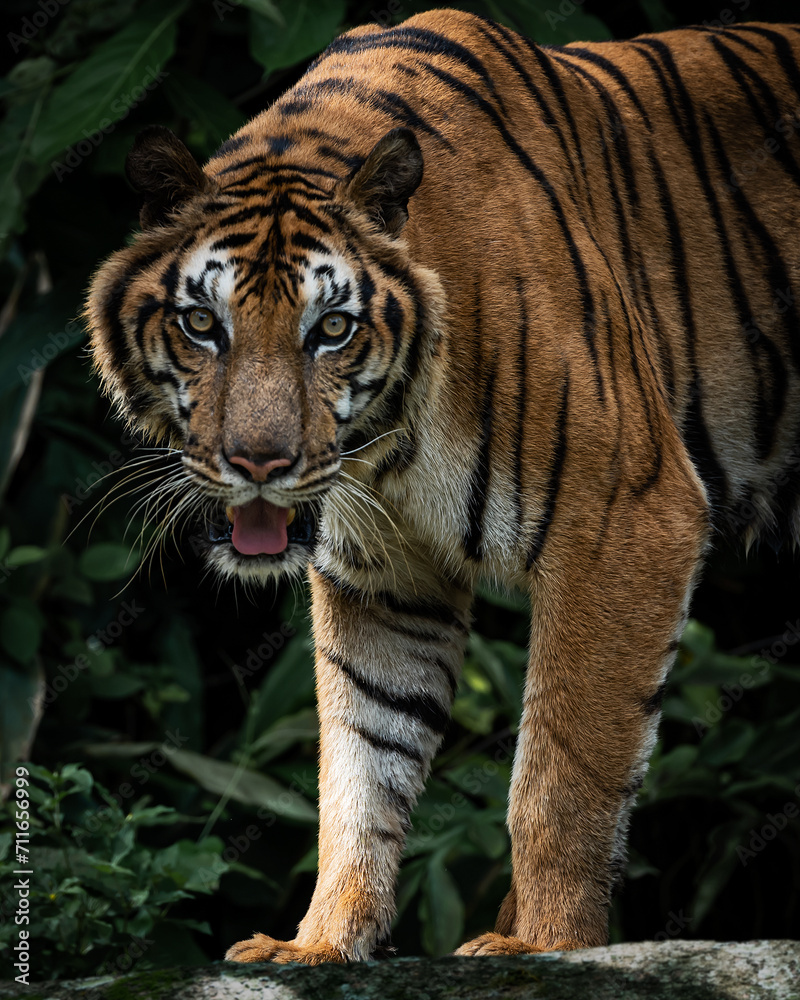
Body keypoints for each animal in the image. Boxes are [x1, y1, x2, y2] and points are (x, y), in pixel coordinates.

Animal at [85, 8, 800, 963]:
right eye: (203, 324)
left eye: (332, 328)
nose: (261, 463)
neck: (387, 450)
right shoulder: (386, 576)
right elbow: (362, 764)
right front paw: (319, 944)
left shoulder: (628, 516)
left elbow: (560, 777)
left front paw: (544, 946)